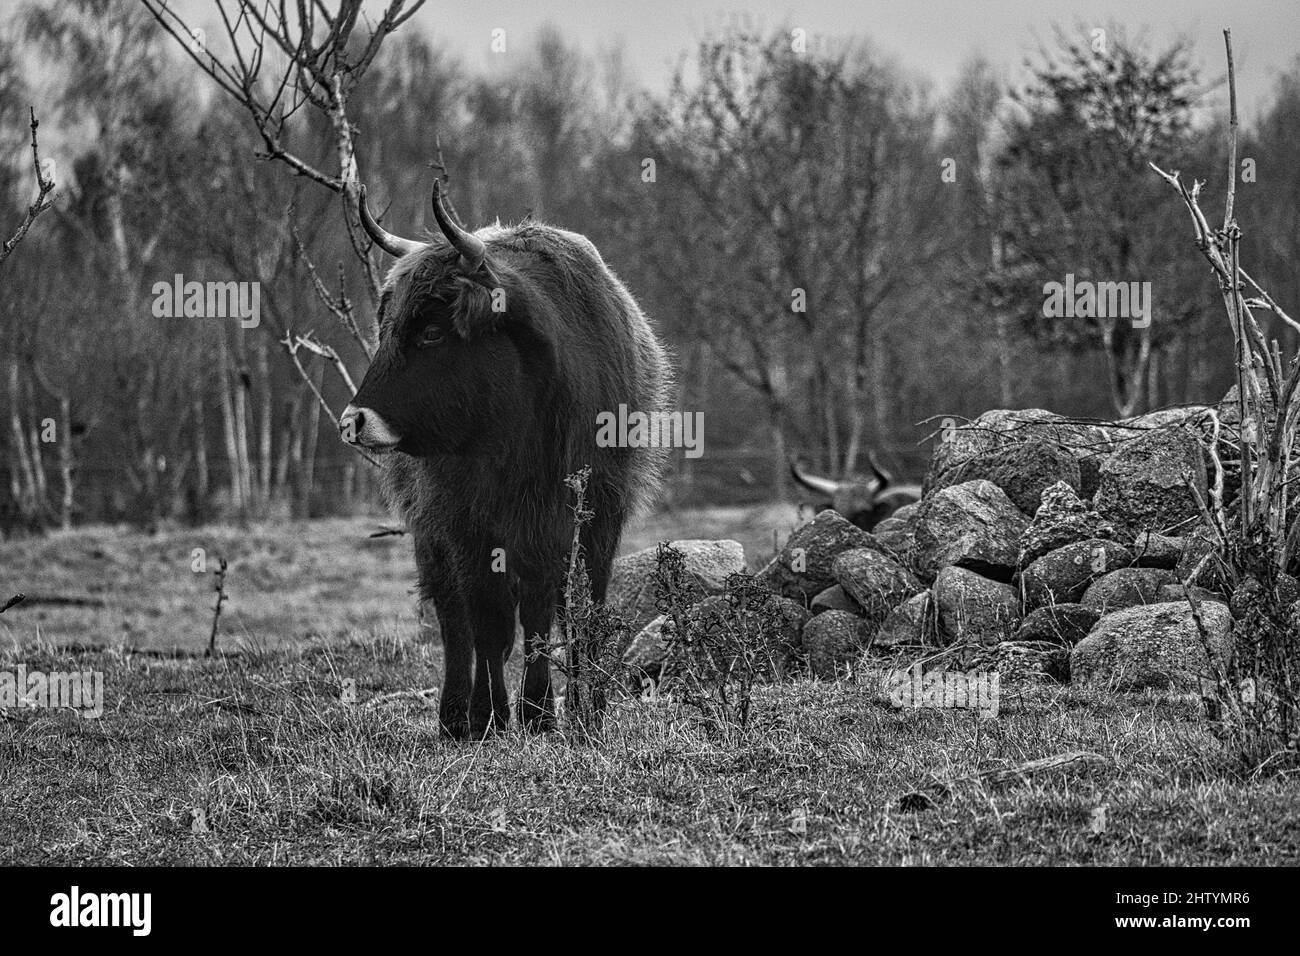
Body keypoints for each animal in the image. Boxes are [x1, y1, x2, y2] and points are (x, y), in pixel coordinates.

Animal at [341, 180, 672, 739]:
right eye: (386, 330)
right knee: (454, 619)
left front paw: (562, 710)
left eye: (431, 332)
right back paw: (456, 715)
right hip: (432, 532)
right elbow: (487, 622)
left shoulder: (585, 515)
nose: (354, 420)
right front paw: (491, 713)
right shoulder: (465, 524)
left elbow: (568, 611)